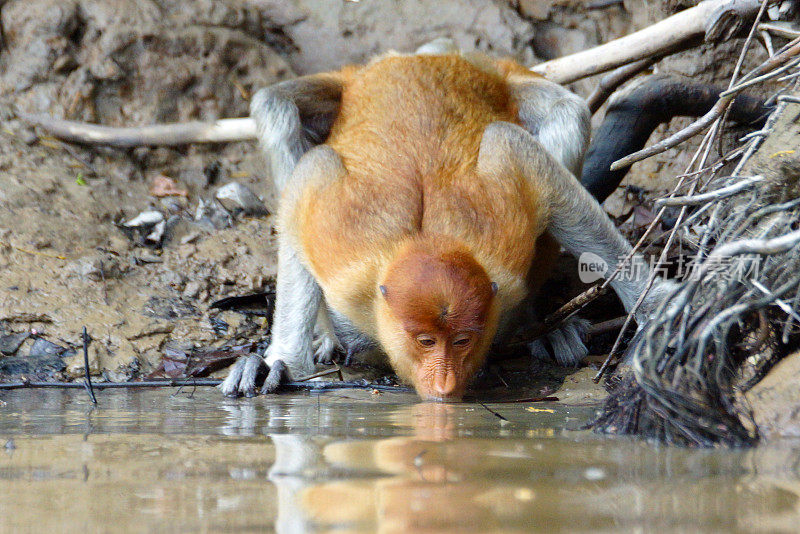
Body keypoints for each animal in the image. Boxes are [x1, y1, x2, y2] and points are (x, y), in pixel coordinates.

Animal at [219, 43, 676, 402]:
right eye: (425, 342)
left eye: (462, 340)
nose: (444, 381)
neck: (426, 240)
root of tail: (413, 57)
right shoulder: (340, 245)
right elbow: (308, 179)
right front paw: (281, 364)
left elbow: (531, 163)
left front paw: (659, 305)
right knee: (276, 107)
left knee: (569, 114)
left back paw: (537, 324)